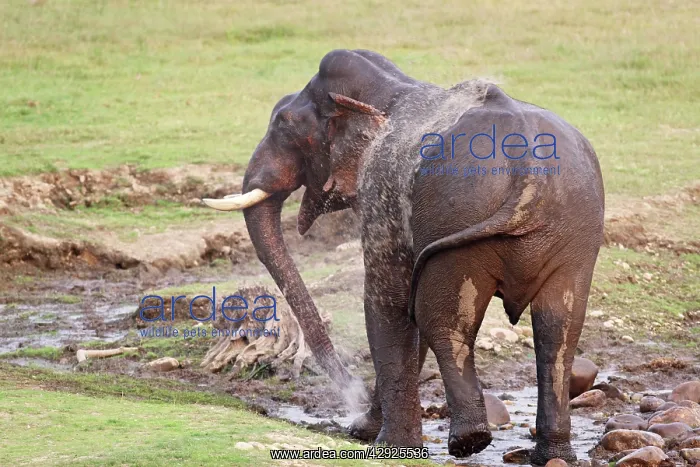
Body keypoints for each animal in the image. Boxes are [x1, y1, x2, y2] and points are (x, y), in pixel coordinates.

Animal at [203, 49, 605, 464]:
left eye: (283, 126)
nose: (352, 397)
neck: (390, 84)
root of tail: (531, 178)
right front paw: (366, 431)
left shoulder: (381, 194)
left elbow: (389, 301)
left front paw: (387, 447)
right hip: (573, 233)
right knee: (559, 327)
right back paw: (552, 454)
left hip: (460, 220)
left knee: (441, 318)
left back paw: (468, 442)